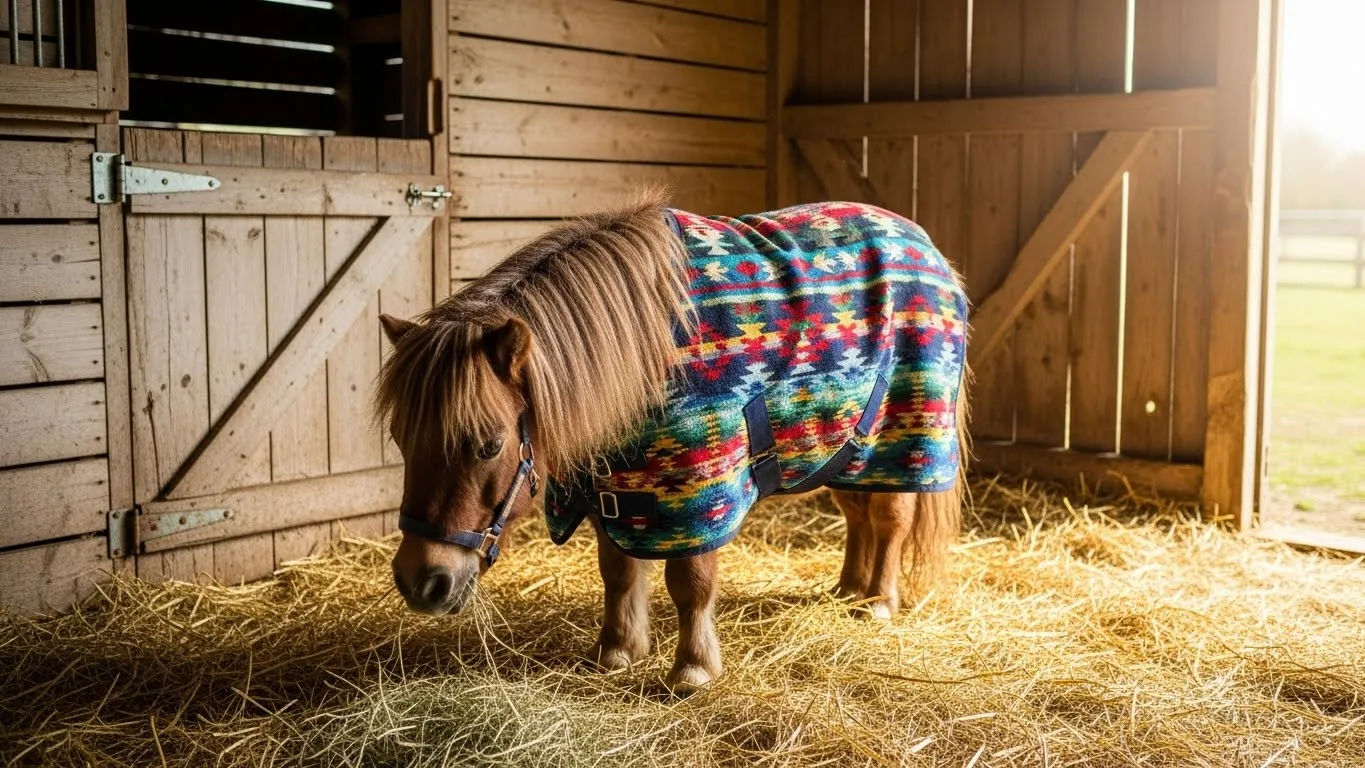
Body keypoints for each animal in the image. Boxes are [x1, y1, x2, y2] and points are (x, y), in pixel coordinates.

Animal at [374, 191, 969, 691]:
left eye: (489, 445)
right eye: (401, 440)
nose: (420, 581)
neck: (651, 348)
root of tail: (927, 247)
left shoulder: (701, 487)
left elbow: (691, 582)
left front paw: (693, 669)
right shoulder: (614, 485)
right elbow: (618, 572)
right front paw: (617, 651)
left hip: (900, 440)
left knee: (890, 520)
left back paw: (878, 601)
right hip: (844, 451)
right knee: (858, 516)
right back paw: (848, 589)